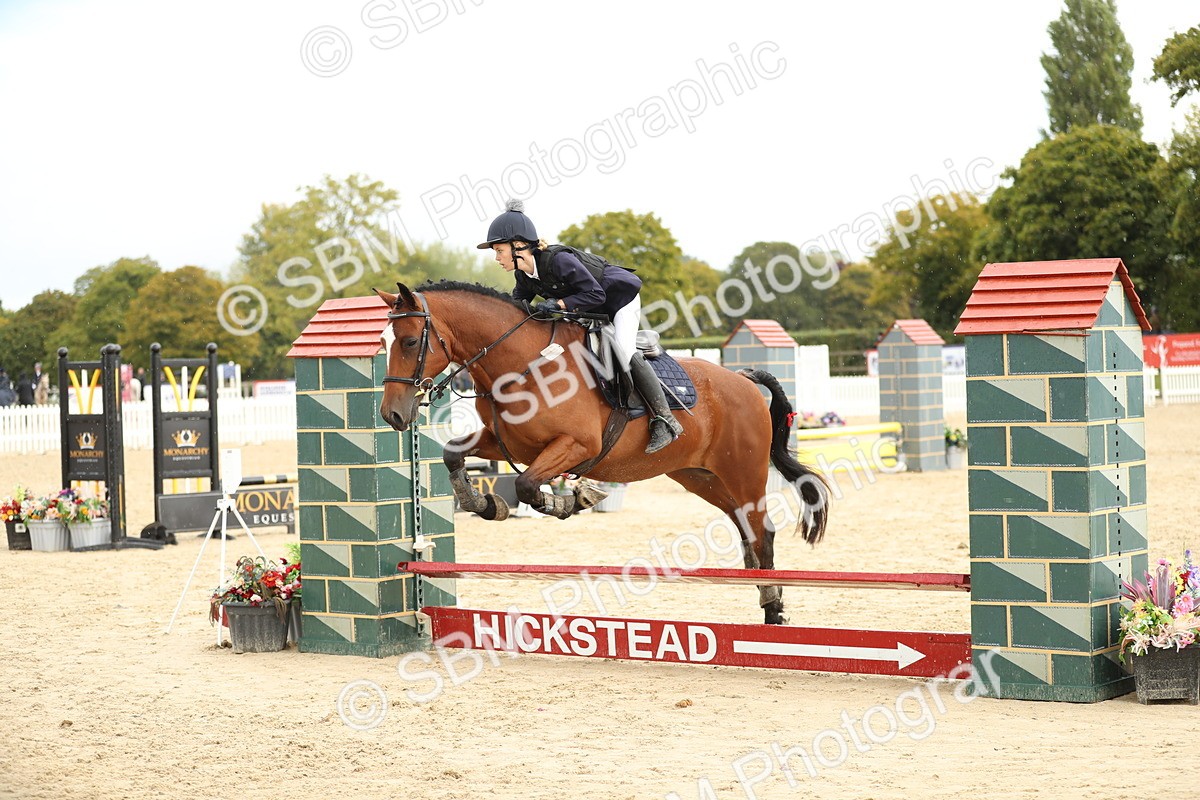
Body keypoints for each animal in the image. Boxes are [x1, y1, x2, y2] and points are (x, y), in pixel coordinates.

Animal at [376, 281, 830, 625]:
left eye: (411, 341)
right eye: (382, 342)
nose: (393, 415)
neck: (522, 364)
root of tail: (743, 379)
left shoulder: (576, 446)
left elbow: (527, 485)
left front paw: (574, 499)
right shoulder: (504, 440)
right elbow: (455, 455)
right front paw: (486, 504)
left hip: (744, 471)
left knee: (762, 531)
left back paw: (773, 612)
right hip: (700, 477)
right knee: (745, 530)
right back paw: (766, 598)